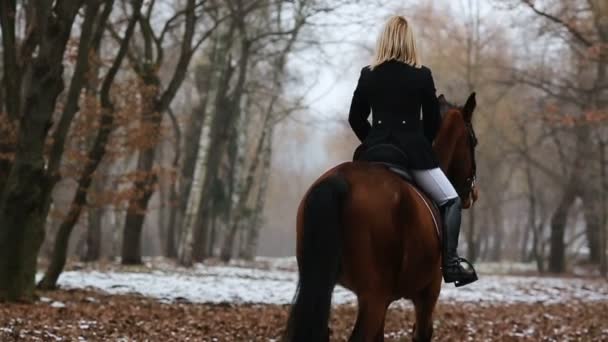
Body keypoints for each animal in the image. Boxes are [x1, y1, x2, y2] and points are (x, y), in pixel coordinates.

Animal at [282, 93, 478, 342]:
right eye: (474, 141)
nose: (472, 195)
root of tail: (339, 181)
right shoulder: (427, 293)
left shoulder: (385, 301)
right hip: (373, 297)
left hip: (320, 283)